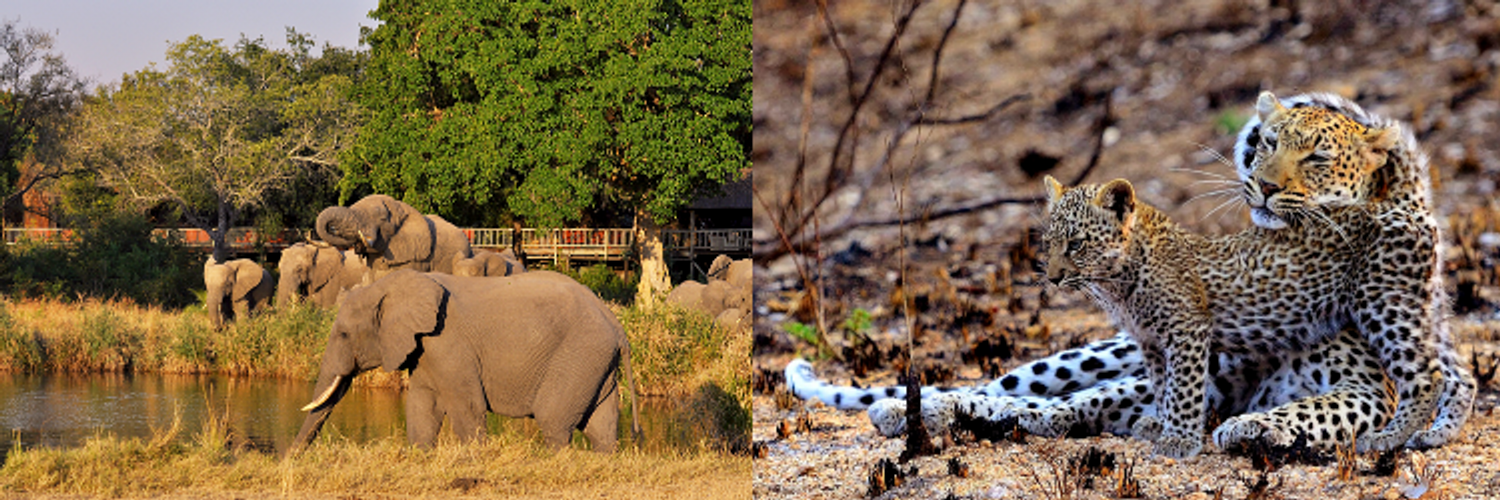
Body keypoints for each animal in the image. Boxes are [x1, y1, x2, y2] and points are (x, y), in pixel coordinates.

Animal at [292, 268, 639, 450]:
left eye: (343, 335)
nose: (288, 459)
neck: (394, 284)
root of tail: (616, 323)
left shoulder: (448, 343)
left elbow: (466, 405)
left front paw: (473, 457)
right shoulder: (424, 350)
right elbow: (422, 406)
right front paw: (421, 454)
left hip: (580, 353)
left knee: (553, 420)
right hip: (597, 361)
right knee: (601, 426)